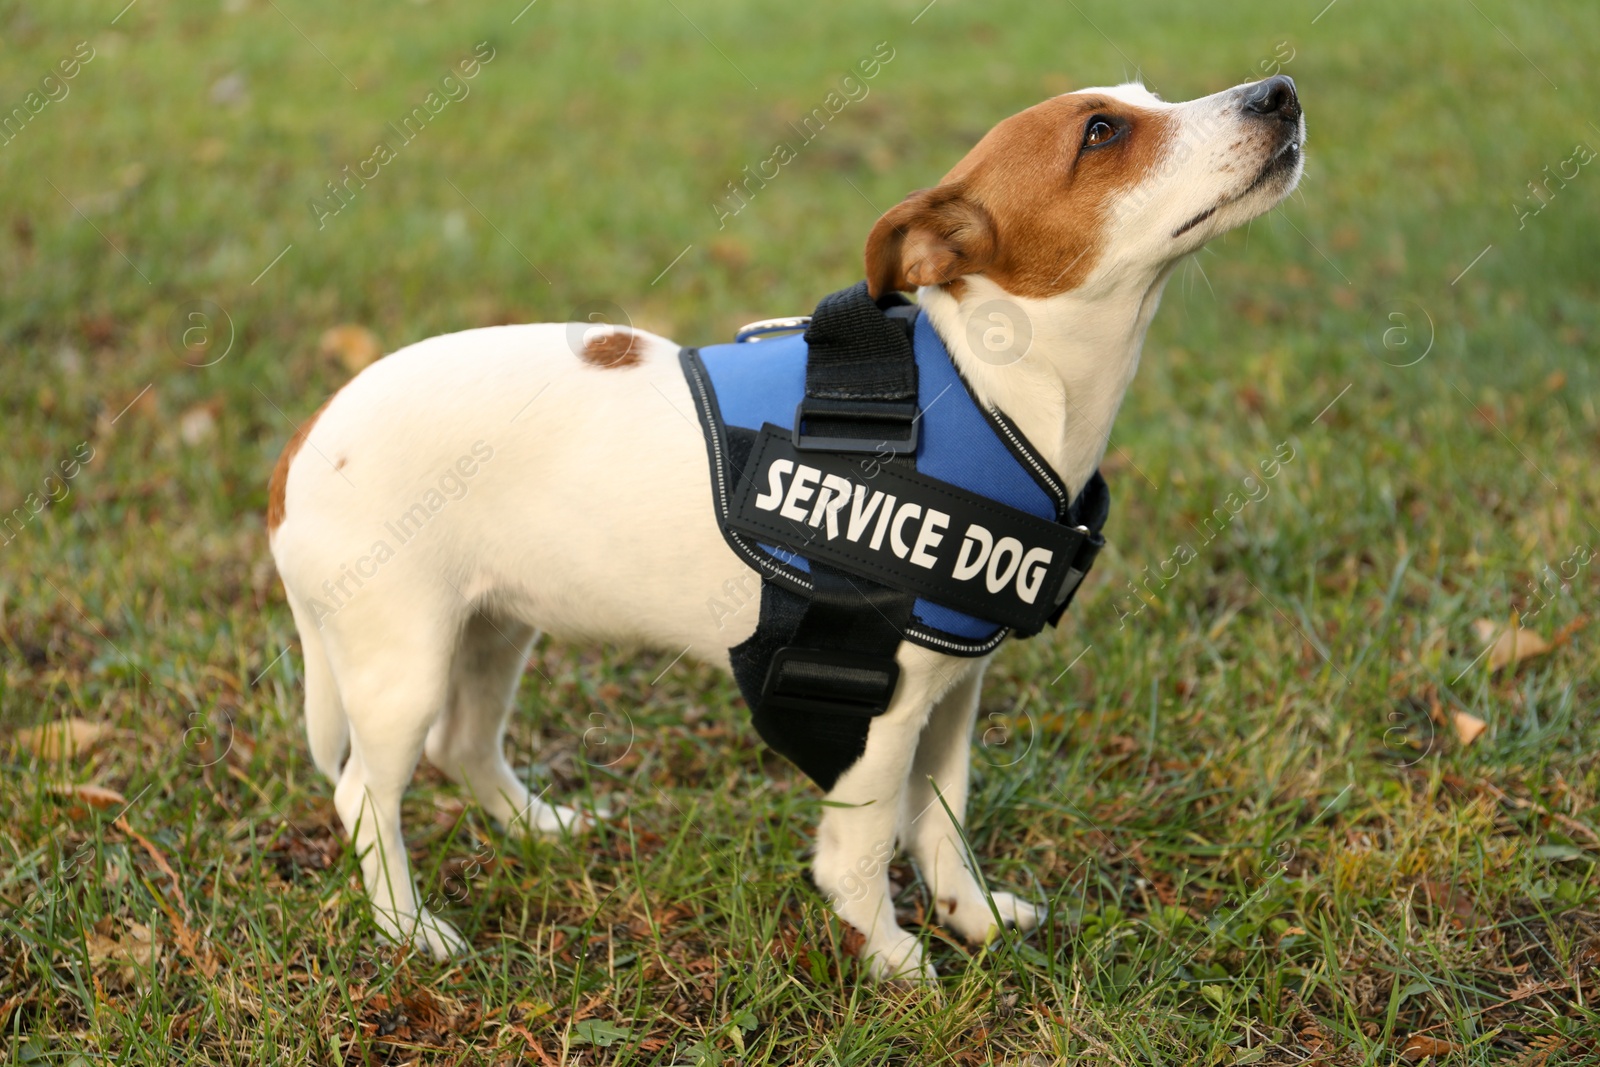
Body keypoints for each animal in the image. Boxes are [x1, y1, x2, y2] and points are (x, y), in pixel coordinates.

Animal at [268, 75, 1305, 979]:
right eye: (1101, 133)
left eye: (1147, 99)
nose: (1282, 92)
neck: (988, 385)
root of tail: (307, 437)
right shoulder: (879, 704)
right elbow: (862, 846)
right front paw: (891, 958)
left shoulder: (953, 691)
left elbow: (942, 822)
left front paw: (971, 917)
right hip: (402, 663)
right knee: (366, 794)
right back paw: (411, 929)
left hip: (495, 627)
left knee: (466, 745)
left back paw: (539, 828)